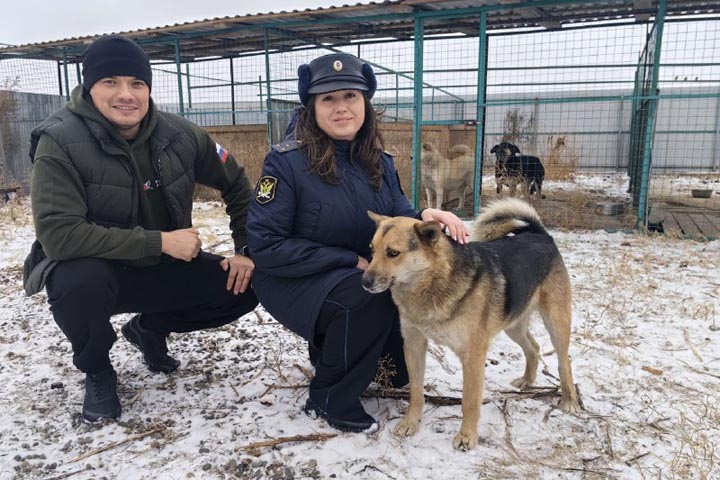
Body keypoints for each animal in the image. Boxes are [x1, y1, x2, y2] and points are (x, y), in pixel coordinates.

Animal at [360, 198, 580, 450]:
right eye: (372, 250)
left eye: (393, 253)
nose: (364, 282)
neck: (433, 282)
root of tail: (540, 234)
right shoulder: (414, 345)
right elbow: (416, 391)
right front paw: (411, 423)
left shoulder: (473, 355)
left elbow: (469, 400)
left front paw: (467, 436)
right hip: (513, 324)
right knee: (533, 347)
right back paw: (527, 380)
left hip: (556, 323)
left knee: (564, 361)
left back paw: (569, 400)